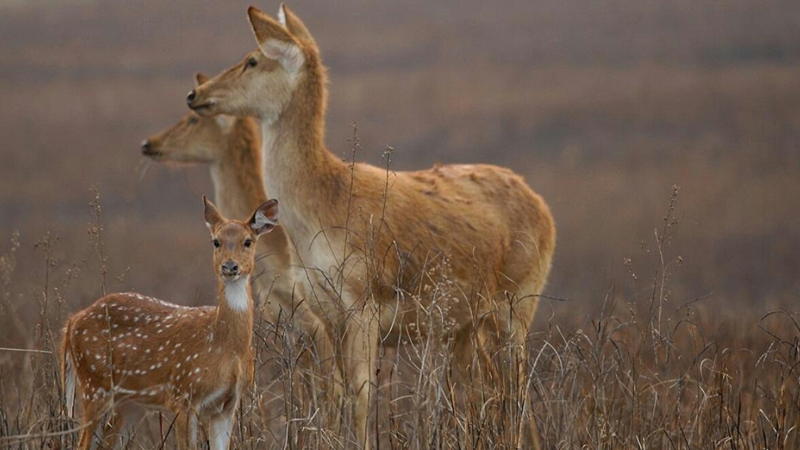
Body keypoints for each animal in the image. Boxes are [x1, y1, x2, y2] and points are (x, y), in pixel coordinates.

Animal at [60, 197, 278, 450]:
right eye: (216, 242)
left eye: (248, 241)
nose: (230, 266)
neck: (225, 347)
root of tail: (72, 321)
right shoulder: (184, 395)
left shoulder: (227, 405)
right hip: (94, 384)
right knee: (83, 442)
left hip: (129, 401)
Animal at [186, 3, 556, 446]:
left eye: (253, 58)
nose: (195, 95)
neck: (318, 213)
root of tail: (543, 208)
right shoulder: (326, 314)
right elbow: (338, 393)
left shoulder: (363, 306)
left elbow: (363, 393)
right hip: (467, 324)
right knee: (479, 389)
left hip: (519, 307)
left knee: (515, 389)